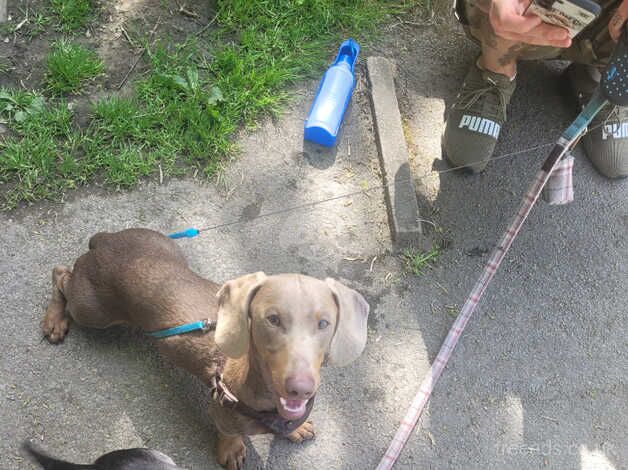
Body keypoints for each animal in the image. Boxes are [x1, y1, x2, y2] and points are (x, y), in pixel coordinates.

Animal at [41, 227, 370, 466]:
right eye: (272, 319)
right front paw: (232, 449)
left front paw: (298, 428)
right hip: (92, 310)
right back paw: (55, 320)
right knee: (60, 274)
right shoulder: (221, 409)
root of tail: (104, 240)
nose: (299, 388)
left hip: (167, 249)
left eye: (324, 322)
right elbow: (227, 431)